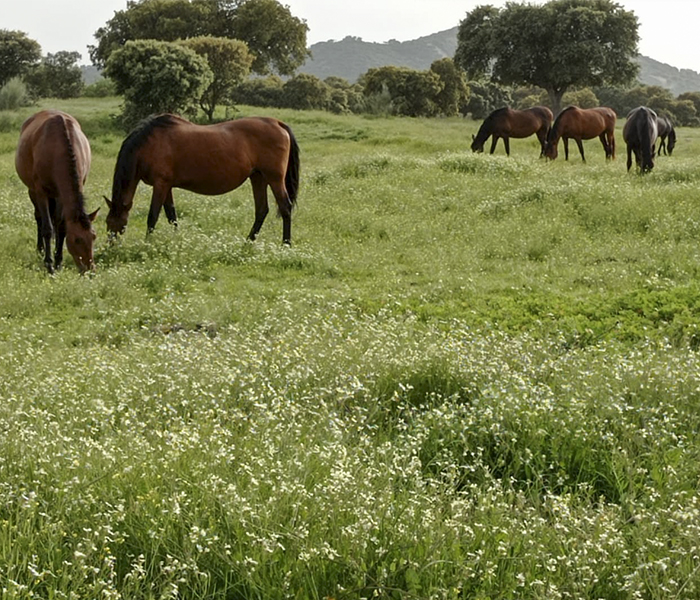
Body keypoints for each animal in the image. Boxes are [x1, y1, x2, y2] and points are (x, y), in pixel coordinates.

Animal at [15, 110, 98, 273]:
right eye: (77, 240)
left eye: (93, 236)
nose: (89, 269)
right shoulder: (40, 191)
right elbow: (47, 228)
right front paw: (49, 265)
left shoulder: (61, 194)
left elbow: (61, 226)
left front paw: (58, 261)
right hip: (32, 191)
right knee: (39, 217)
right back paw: (40, 249)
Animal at [105, 114, 300, 245]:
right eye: (107, 222)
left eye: (116, 222)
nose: (110, 244)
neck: (149, 145)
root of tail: (277, 123)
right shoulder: (167, 186)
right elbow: (171, 215)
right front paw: (177, 239)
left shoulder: (160, 185)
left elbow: (153, 216)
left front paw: (147, 243)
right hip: (258, 177)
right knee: (261, 210)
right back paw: (248, 241)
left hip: (274, 179)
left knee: (285, 207)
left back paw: (286, 243)